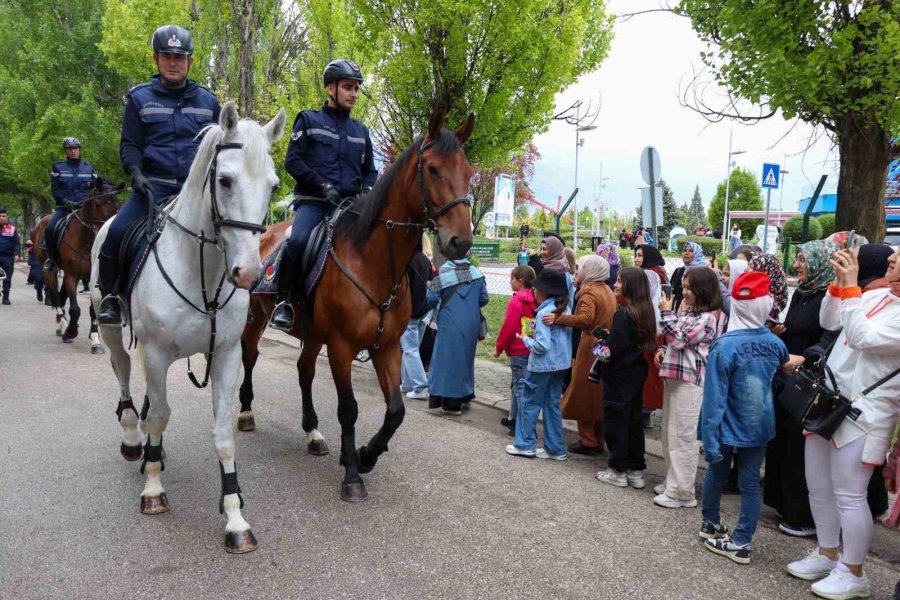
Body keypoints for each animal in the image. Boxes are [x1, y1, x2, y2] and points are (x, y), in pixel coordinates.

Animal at [91, 102, 284, 552]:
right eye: (225, 180)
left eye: (272, 185)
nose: (249, 273)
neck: (203, 274)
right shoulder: (158, 353)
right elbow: (161, 417)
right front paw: (153, 490)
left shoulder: (227, 355)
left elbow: (223, 432)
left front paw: (235, 518)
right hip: (112, 332)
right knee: (124, 377)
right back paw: (134, 441)